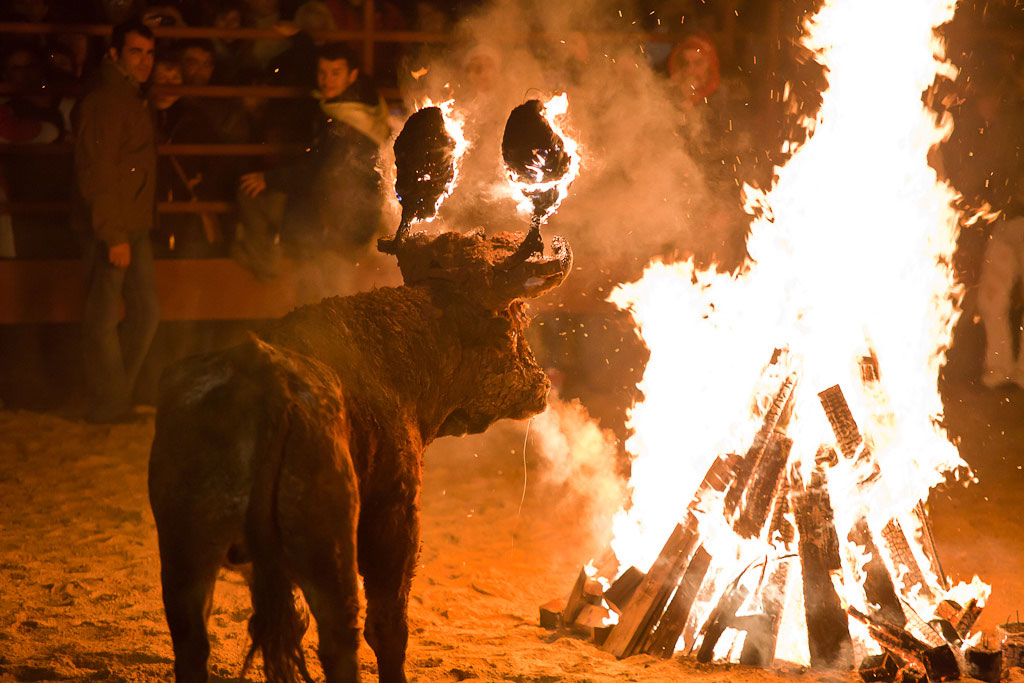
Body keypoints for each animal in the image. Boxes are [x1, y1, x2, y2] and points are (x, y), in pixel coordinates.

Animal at [148, 231, 573, 683]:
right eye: (514, 321)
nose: (542, 385)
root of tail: (265, 379)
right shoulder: (394, 515)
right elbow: (388, 625)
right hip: (331, 551)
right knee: (342, 639)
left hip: (184, 555)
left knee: (193, 643)